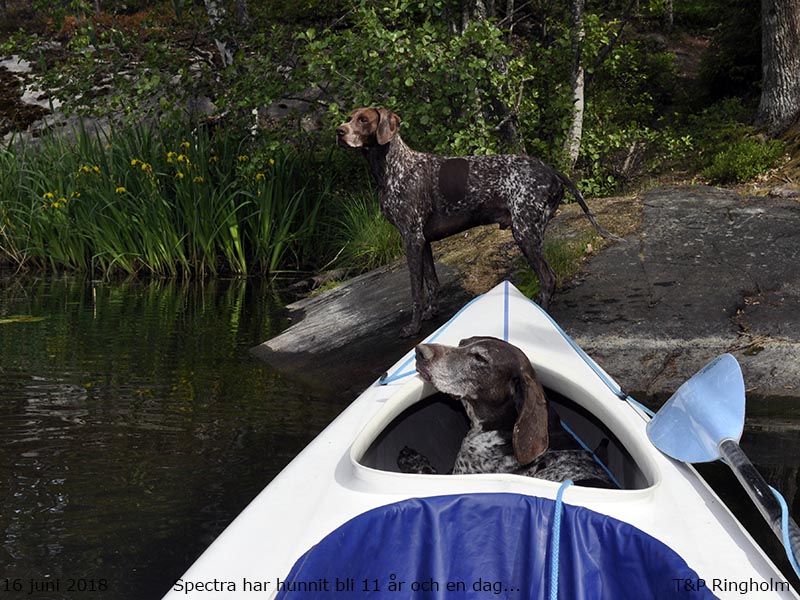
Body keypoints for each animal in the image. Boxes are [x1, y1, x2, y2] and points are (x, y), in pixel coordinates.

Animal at [336, 107, 622, 337]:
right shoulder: (422, 241)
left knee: (548, 279)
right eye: (349, 117)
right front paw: (431, 313)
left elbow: (416, 291)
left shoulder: (411, 239)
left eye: (363, 119)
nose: (339, 131)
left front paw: (413, 328)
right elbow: (432, 284)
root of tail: (550, 170)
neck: (395, 168)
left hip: (525, 233)